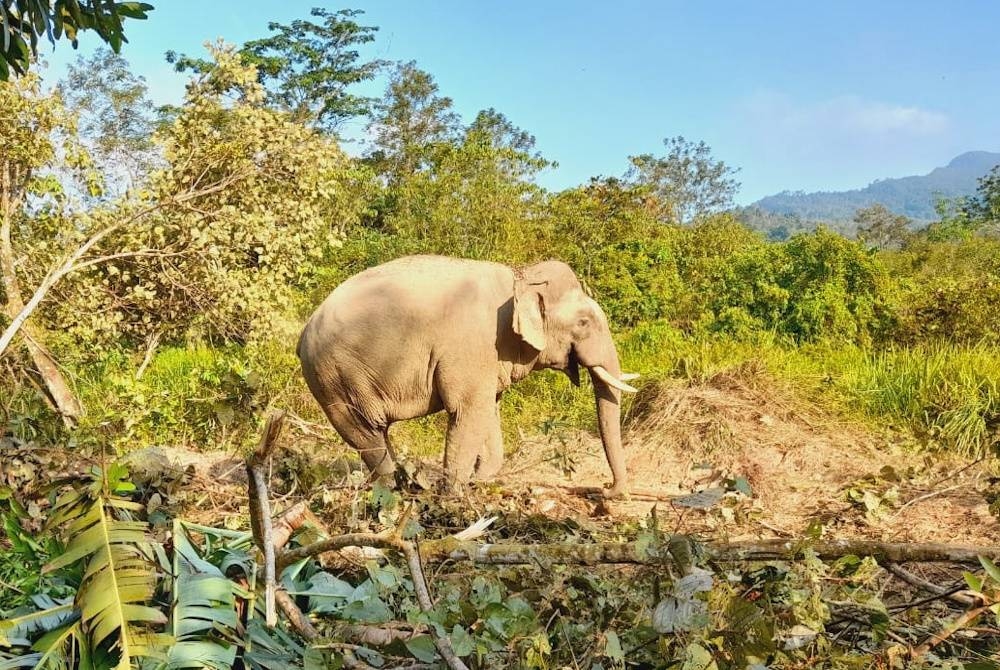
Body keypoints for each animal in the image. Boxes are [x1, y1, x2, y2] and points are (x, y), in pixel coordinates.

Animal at [298, 258, 640, 498]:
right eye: (583, 322)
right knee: (368, 434)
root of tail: (304, 333)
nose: (604, 489)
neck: (521, 278)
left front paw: (480, 478)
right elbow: (467, 409)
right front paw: (453, 495)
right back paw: (396, 489)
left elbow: (488, 409)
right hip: (336, 379)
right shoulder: (473, 345)